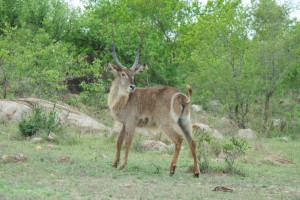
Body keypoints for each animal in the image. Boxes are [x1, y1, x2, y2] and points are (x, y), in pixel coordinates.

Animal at [106, 45, 200, 177]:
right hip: (184, 122)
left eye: (133, 75)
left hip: (166, 124)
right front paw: (114, 163)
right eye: (123, 74)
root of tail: (181, 95)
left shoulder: (131, 123)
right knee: (192, 142)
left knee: (179, 139)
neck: (124, 100)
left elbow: (127, 142)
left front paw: (122, 165)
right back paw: (196, 172)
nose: (132, 86)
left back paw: (172, 169)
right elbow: (119, 141)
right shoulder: (124, 124)